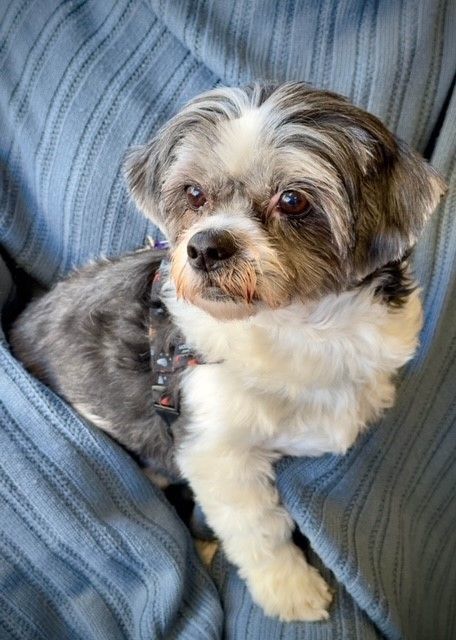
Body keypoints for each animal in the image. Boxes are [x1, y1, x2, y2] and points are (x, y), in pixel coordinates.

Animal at [11, 81, 446, 620]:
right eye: (194, 194)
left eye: (293, 200)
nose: (205, 246)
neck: (299, 330)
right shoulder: (216, 451)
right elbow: (259, 530)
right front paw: (290, 588)